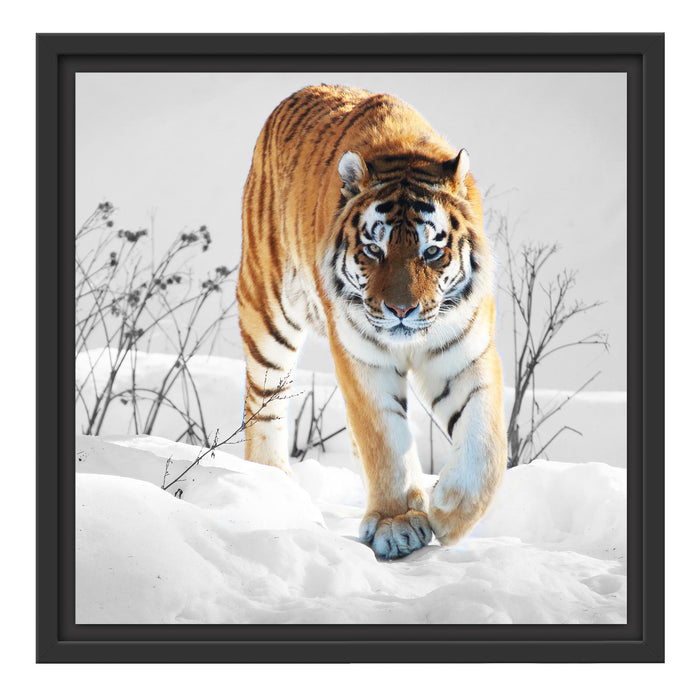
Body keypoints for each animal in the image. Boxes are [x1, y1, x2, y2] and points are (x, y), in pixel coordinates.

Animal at [237, 85, 507, 559]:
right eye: (373, 251)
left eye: (431, 252)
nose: (400, 310)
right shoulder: (362, 358)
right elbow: (384, 439)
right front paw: (397, 524)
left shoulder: (465, 353)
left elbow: (485, 441)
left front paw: (449, 511)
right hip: (268, 312)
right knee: (264, 402)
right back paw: (273, 484)